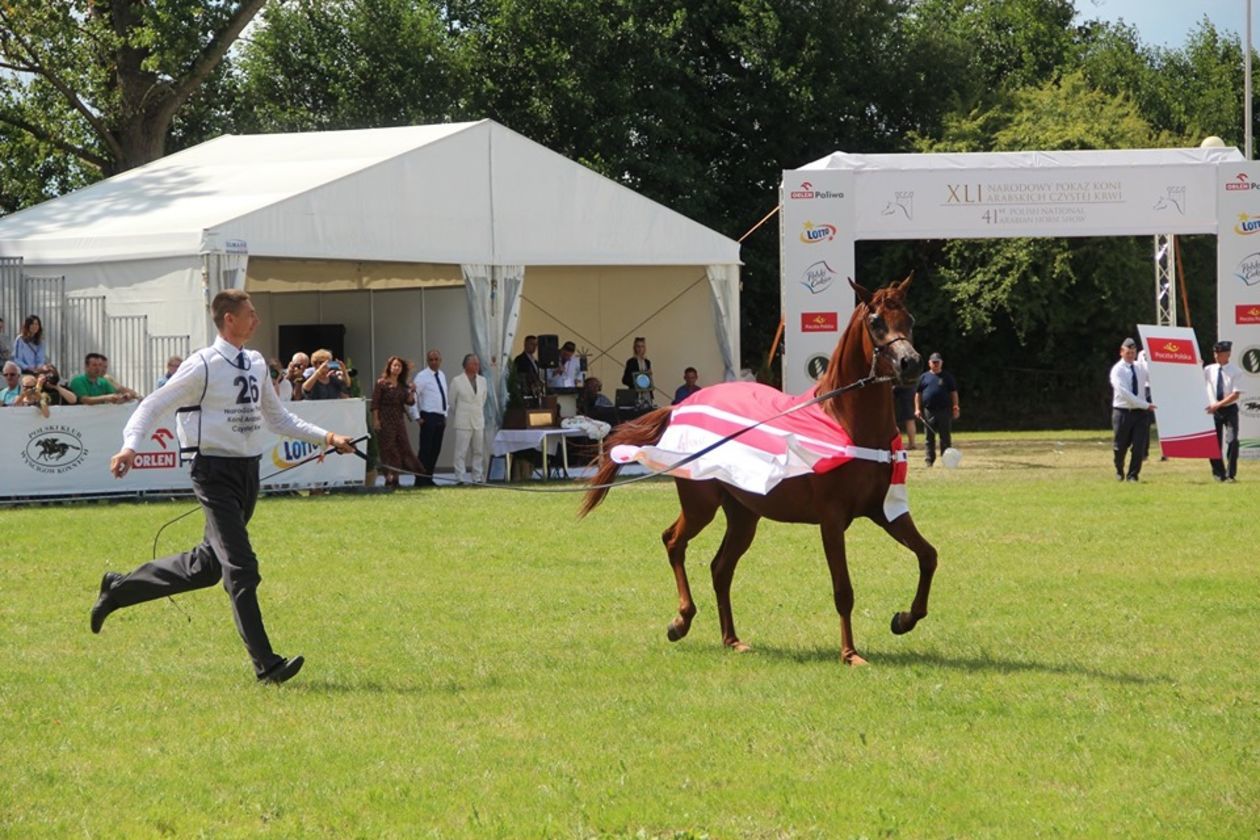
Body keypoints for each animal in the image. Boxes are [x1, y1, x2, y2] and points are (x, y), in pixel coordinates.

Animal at [579, 279, 937, 664]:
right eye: (875, 321)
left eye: (909, 318)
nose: (911, 363)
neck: (842, 420)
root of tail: (682, 405)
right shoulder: (831, 519)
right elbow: (843, 589)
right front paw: (850, 653)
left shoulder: (884, 511)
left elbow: (928, 556)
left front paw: (904, 619)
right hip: (701, 505)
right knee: (674, 541)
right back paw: (681, 621)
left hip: (743, 515)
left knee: (721, 568)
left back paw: (732, 639)